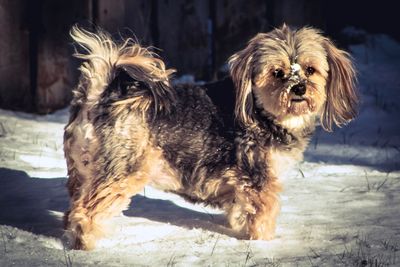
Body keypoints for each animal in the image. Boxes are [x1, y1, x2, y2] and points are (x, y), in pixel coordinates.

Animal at [64, 24, 358, 250]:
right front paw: (263, 246)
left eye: (310, 69)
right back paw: (88, 245)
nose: (299, 88)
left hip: (81, 173)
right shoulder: (260, 183)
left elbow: (240, 212)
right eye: (277, 72)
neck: (260, 111)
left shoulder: (241, 188)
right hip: (122, 171)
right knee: (87, 212)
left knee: (72, 208)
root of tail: (100, 95)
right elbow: (262, 219)